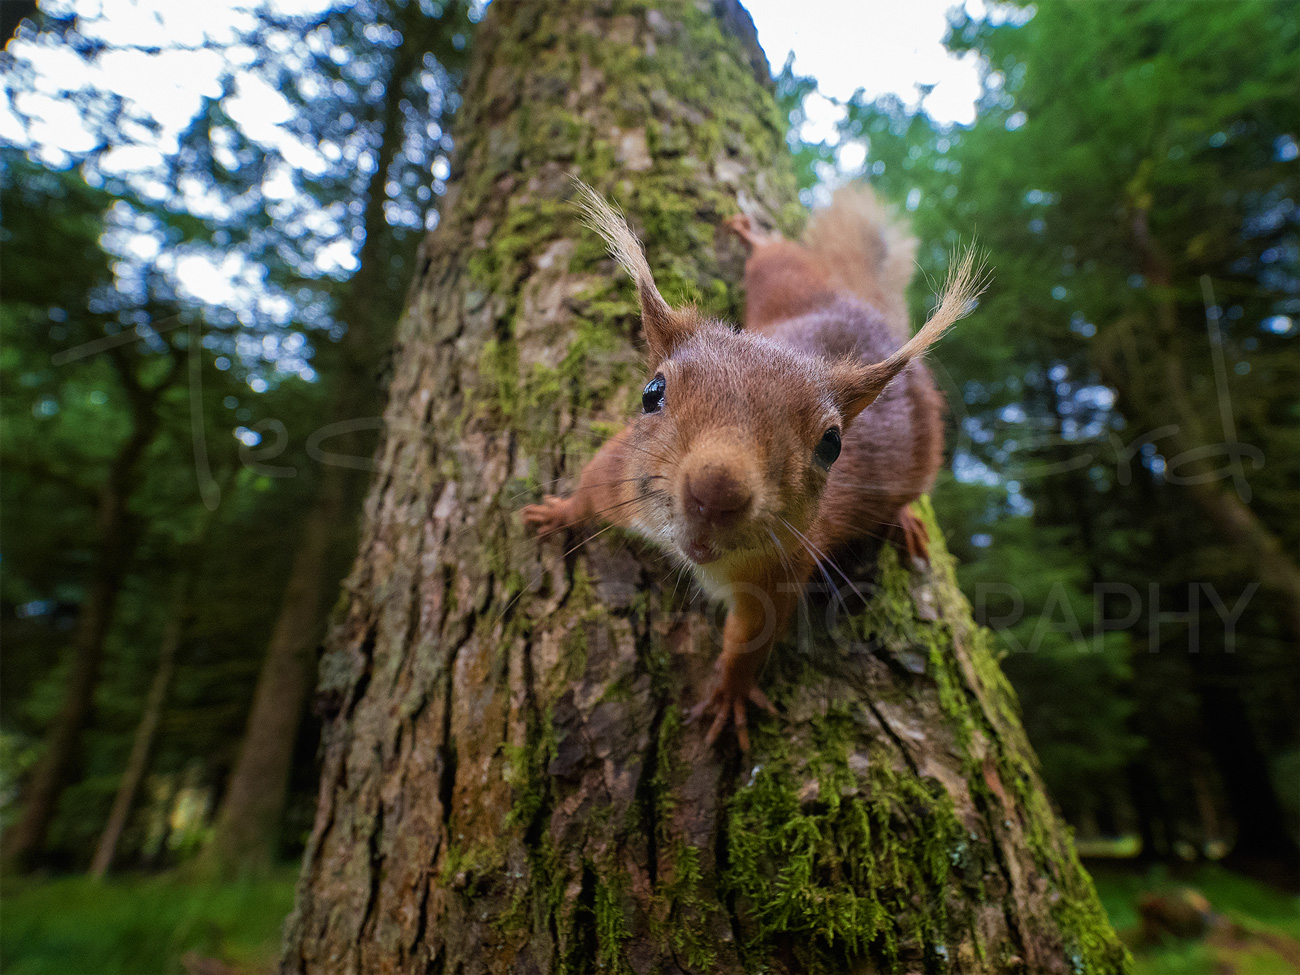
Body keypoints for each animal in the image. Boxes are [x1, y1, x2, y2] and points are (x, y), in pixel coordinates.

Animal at [523, 183, 984, 750]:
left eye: (832, 445)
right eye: (652, 393)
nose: (717, 492)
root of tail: (862, 310)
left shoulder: (780, 570)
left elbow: (750, 639)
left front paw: (731, 695)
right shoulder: (618, 477)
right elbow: (587, 490)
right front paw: (557, 513)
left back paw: (904, 520)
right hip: (781, 282)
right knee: (774, 258)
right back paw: (754, 236)